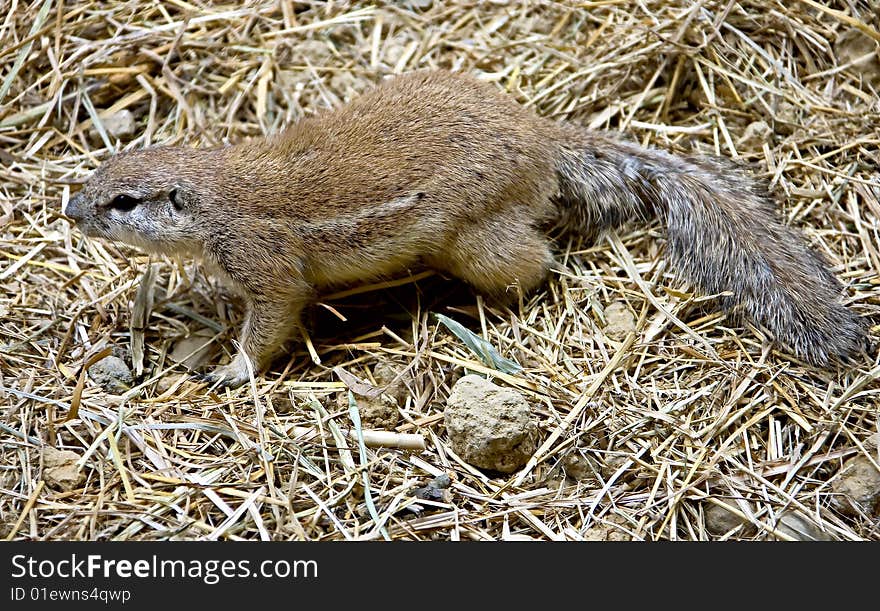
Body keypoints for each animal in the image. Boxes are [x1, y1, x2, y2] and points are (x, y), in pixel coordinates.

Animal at [67, 70, 868, 388]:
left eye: (124, 202)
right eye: (102, 174)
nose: (72, 209)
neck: (217, 192)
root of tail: (541, 139)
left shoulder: (268, 263)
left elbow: (273, 318)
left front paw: (232, 368)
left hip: (477, 240)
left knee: (539, 260)